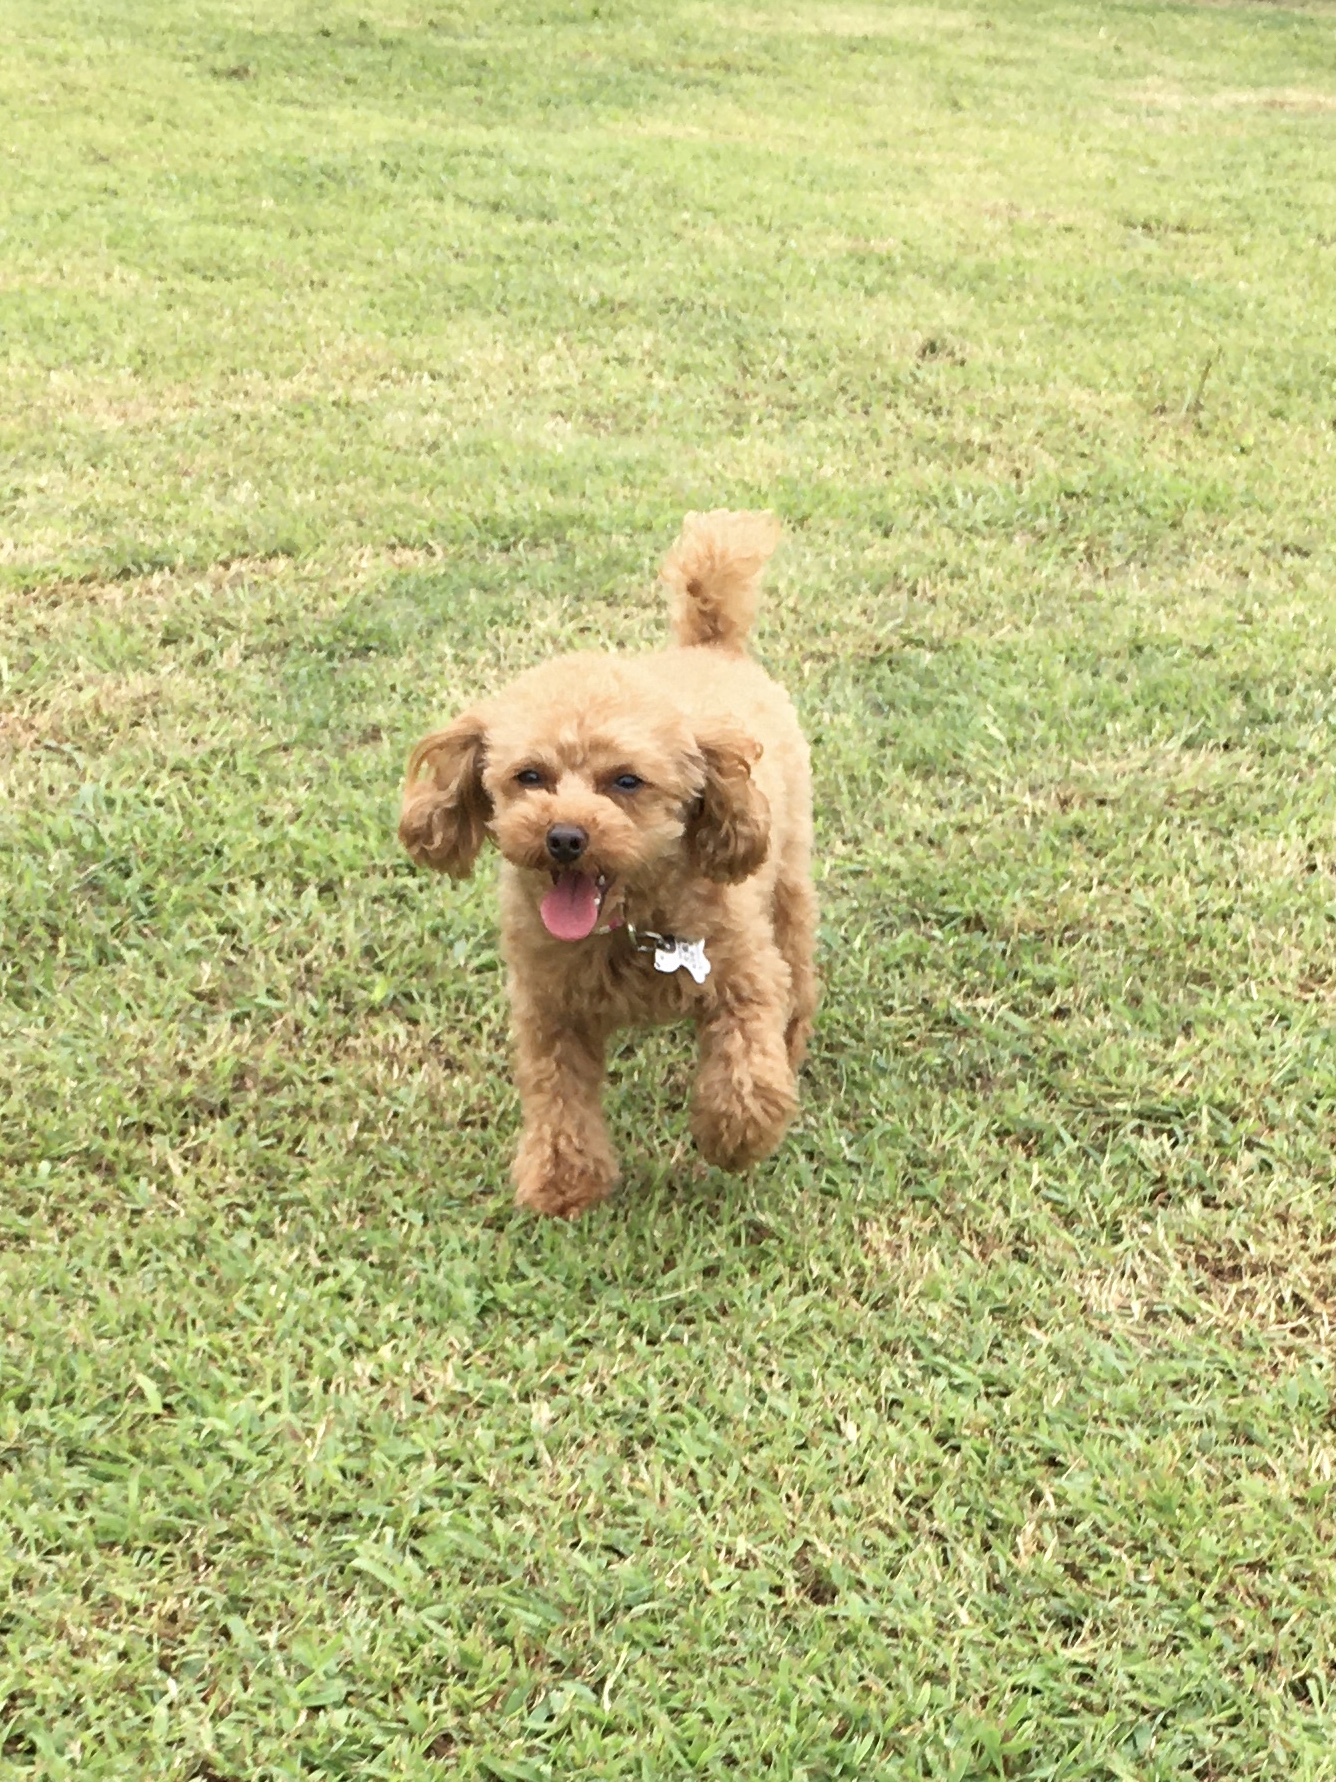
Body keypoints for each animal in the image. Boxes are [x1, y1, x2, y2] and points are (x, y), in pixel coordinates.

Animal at [399, 510, 817, 1218]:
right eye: (529, 776)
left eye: (626, 781)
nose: (565, 837)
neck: (629, 926)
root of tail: (713, 647)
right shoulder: (549, 1009)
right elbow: (558, 1097)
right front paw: (565, 1184)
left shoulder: (743, 976)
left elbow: (745, 1069)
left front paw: (733, 1138)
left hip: (787, 876)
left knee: (797, 970)